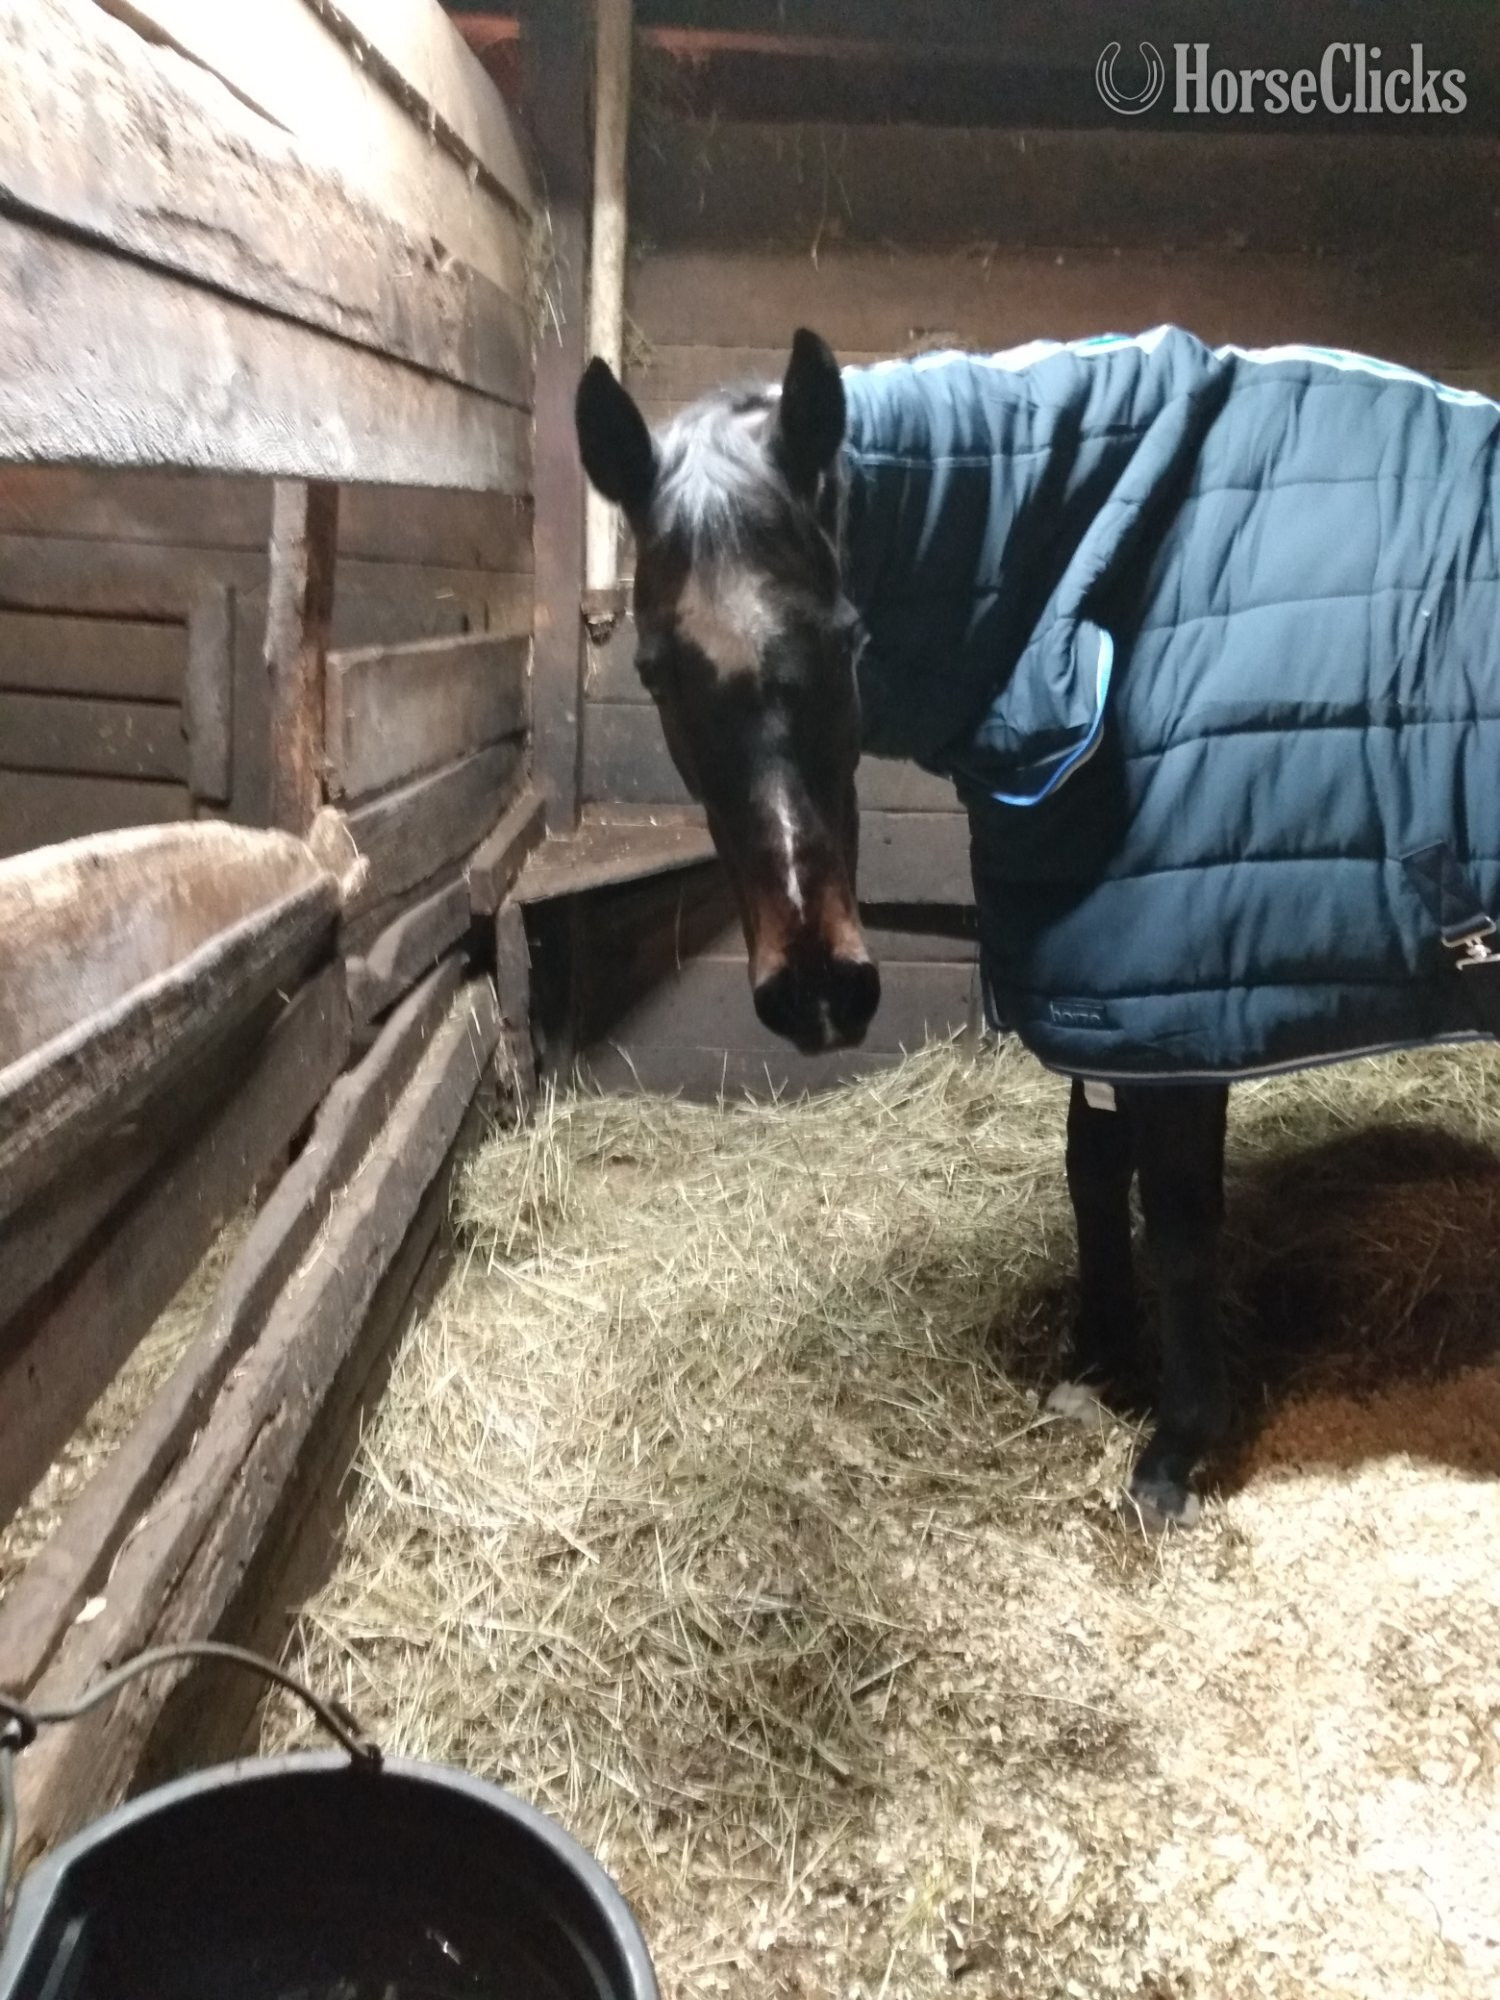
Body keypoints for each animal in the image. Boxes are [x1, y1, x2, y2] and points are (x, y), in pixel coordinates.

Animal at [574, 325, 1500, 1526]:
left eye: (848, 636)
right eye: (652, 668)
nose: (819, 989)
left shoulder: (1176, 1005)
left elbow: (1180, 1217)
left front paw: (1173, 1448)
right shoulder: (1095, 985)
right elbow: (1091, 1169)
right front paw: (1099, 1365)